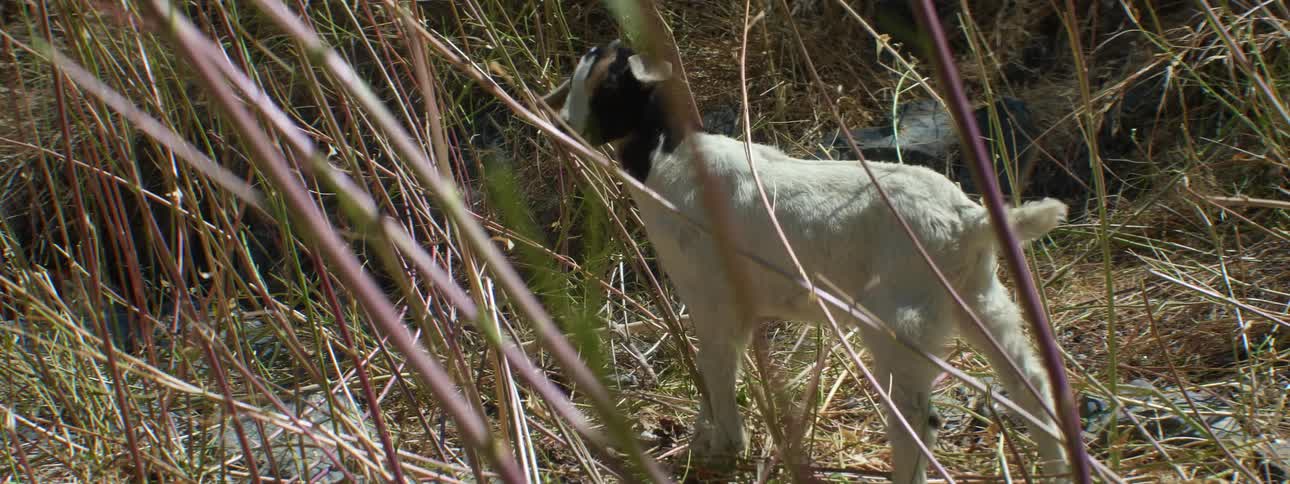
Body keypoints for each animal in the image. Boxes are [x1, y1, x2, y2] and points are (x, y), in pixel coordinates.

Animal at [544, 40, 1071, 483]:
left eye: (600, 80)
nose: (564, 122)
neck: (667, 158)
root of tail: (969, 221)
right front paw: (706, 439)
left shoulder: (713, 301)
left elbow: (717, 371)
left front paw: (723, 449)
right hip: (980, 300)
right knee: (1032, 386)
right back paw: (1059, 465)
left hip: (900, 324)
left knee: (919, 420)